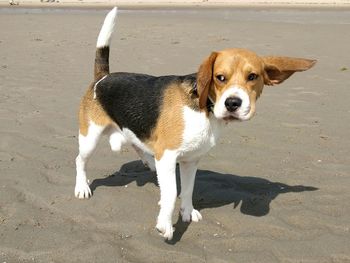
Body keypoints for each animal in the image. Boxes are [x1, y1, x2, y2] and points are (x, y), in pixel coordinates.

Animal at [75, 7, 316, 240]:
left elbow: (188, 189)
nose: (233, 103)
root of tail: (102, 77)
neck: (205, 109)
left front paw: (187, 212)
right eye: (220, 77)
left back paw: (150, 164)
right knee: (80, 160)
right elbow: (172, 192)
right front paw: (165, 224)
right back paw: (82, 187)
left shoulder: (190, 160)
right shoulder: (169, 155)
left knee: (138, 145)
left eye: (253, 77)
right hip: (90, 138)